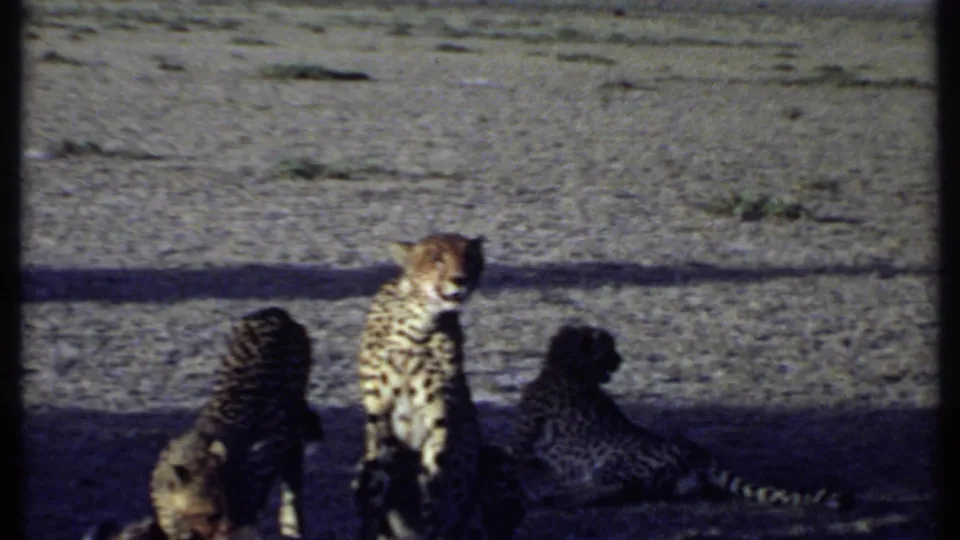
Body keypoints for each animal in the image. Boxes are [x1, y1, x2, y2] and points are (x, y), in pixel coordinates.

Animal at [354, 233, 491, 539]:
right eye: (436, 258)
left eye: (469, 258)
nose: (460, 279)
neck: (419, 323)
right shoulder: (377, 416)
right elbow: (374, 489)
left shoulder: (439, 417)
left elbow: (434, 489)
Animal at [509, 324, 855, 512]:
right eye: (609, 349)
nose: (621, 360)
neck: (565, 367)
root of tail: (698, 451)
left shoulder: (524, 443)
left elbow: (510, 455)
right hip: (661, 477)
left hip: (615, 461)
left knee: (613, 487)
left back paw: (559, 498)